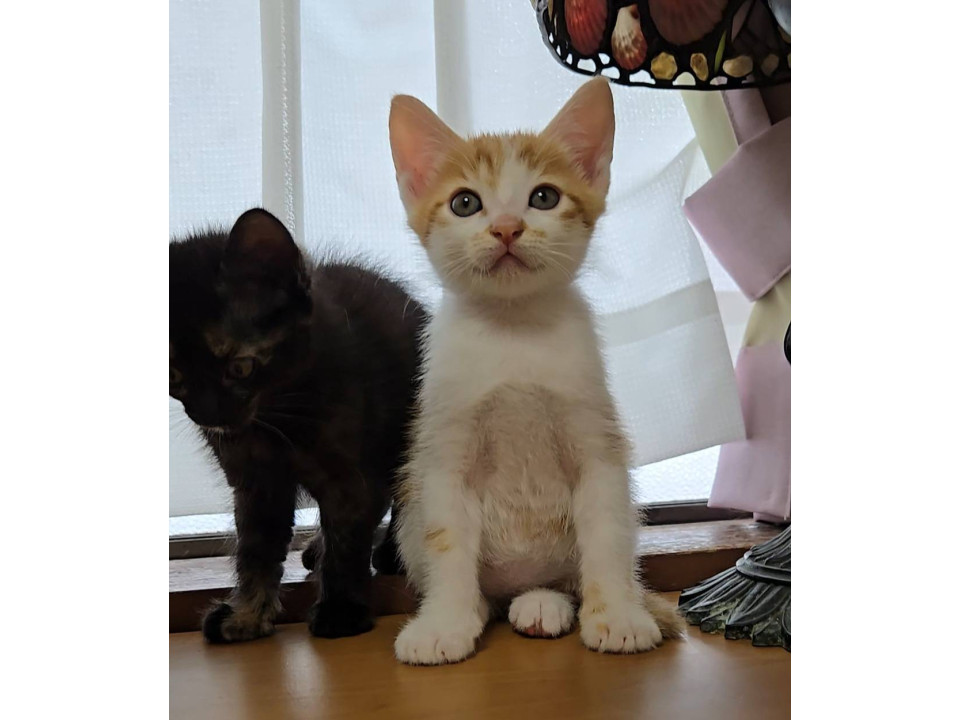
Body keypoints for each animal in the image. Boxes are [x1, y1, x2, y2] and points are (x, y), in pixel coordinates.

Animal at [169, 208, 427, 642]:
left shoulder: (352, 477)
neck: (277, 415)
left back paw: (392, 552)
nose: (210, 416)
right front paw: (247, 615)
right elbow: (256, 548)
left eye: (239, 367)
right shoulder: (255, 482)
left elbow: (347, 538)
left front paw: (341, 611)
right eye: (174, 376)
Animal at [386, 78, 684, 665]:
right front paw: (444, 624)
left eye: (544, 196)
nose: (506, 228)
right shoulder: (444, 454)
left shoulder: (597, 443)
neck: (514, 329)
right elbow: (447, 541)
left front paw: (617, 615)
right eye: (465, 203)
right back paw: (486, 606)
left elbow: (606, 533)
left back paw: (544, 602)